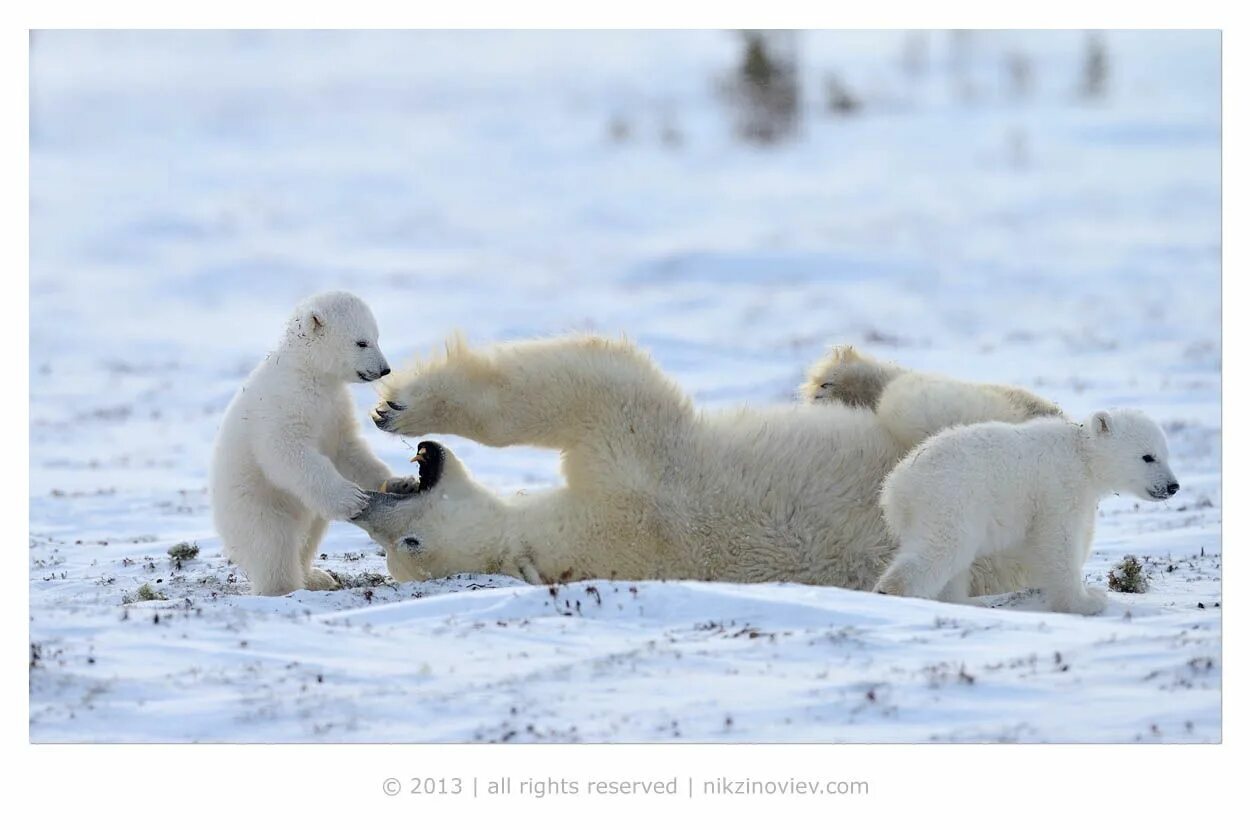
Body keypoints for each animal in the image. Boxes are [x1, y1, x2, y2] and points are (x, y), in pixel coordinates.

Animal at [355, 335, 1065, 592]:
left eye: (407, 542)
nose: (370, 508)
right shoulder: (632, 493)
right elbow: (596, 383)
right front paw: (399, 406)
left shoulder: (632, 477)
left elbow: (586, 387)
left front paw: (400, 406)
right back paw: (840, 382)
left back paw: (836, 380)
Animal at [875, 410, 1175, 612]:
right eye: (1148, 457)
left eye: (1166, 454)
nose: (1173, 486)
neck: (1082, 455)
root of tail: (897, 486)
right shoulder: (1058, 487)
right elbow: (1058, 541)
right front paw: (1087, 601)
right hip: (953, 499)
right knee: (942, 549)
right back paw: (893, 592)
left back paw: (967, 602)